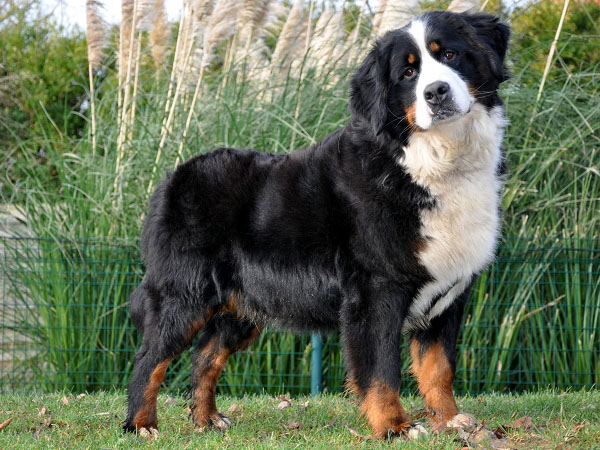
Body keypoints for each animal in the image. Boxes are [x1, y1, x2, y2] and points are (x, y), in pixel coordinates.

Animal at [124, 11, 510, 440]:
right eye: (408, 73)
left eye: (451, 54)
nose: (437, 92)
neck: (432, 163)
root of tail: (172, 178)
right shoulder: (376, 290)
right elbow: (381, 370)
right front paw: (395, 427)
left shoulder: (448, 294)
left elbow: (438, 367)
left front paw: (449, 420)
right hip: (184, 295)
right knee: (150, 359)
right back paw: (141, 425)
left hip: (242, 306)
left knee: (205, 355)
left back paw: (207, 418)